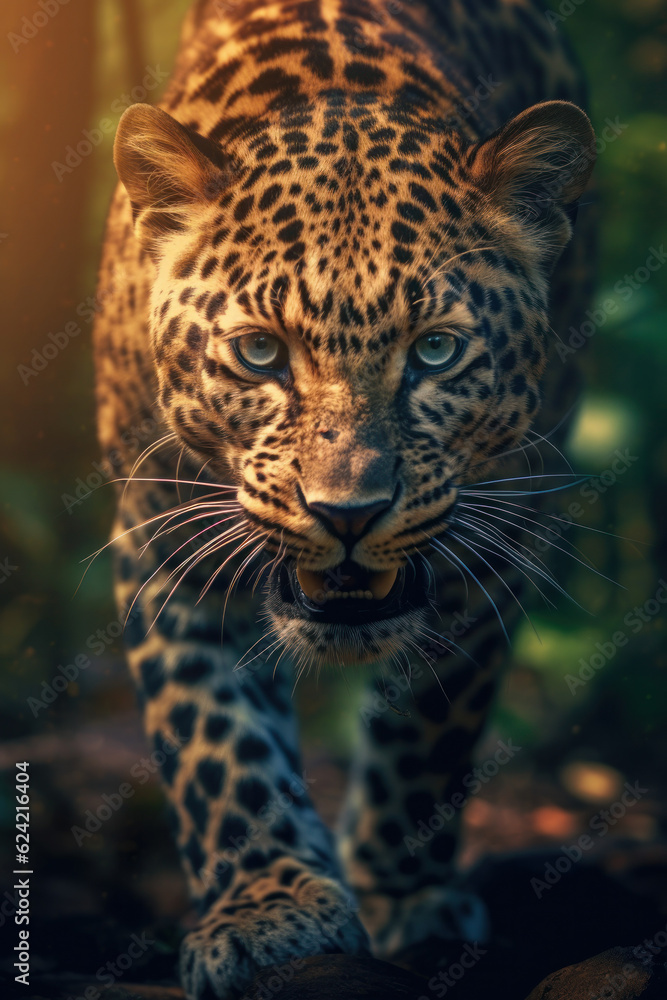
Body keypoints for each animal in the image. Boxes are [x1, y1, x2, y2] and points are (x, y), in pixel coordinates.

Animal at [92, 0, 597, 996]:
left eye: (435, 351)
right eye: (259, 353)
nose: (348, 513)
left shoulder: (496, 541)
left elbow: (430, 732)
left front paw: (403, 898)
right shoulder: (161, 540)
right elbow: (215, 738)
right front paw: (268, 909)